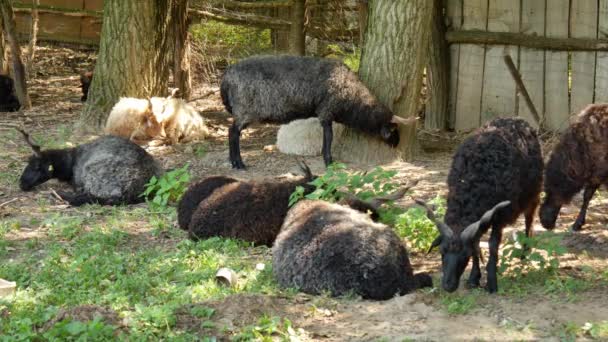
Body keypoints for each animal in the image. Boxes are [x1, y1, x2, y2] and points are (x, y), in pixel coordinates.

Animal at [221, 53, 416, 170]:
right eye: (393, 129)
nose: (397, 144)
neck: (352, 99)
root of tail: (226, 76)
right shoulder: (326, 111)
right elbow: (328, 137)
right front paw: (329, 161)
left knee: (232, 132)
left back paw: (234, 162)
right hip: (244, 110)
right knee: (233, 133)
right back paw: (238, 163)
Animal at [420, 118, 544, 294]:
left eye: (464, 255)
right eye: (442, 251)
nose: (448, 286)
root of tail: (518, 120)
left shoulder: (500, 215)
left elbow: (492, 245)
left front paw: (491, 282)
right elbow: (476, 244)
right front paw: (474, 278)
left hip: (532, 190)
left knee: (530, 218)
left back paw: (525, 252)